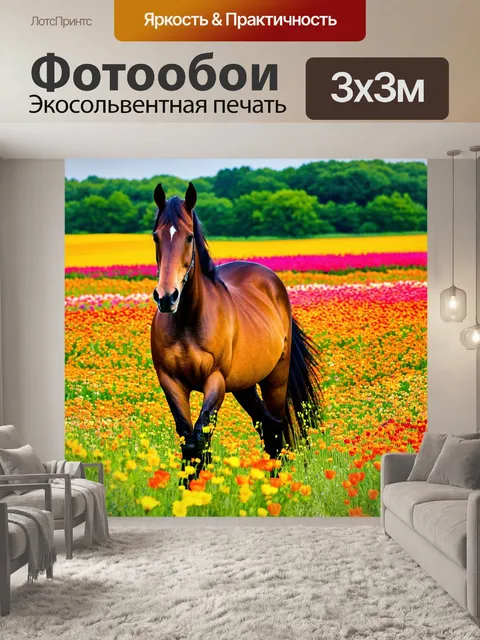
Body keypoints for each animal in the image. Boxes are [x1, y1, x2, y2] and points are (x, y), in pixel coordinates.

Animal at [150, 182, 322, 464]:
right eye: (156, 236)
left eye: (189, 237)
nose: (167, 297)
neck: (189, 321)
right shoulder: (170, 381)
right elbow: (189, 440)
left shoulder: (215, 380)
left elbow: (201, 435)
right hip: (245, 385)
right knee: (268, 426)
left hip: (276, 379)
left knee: (277, 427)